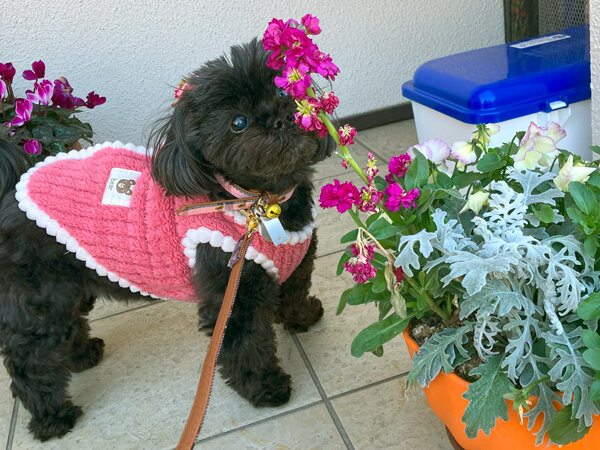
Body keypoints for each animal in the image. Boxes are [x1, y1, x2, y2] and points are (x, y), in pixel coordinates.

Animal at [0, 38, 332, 440]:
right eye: (238, 122)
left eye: (285, 90)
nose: (282, 117)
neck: (261, 204)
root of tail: (11, 190)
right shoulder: (233, 291)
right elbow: (247, 343)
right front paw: (265, 387)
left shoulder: (296, 264)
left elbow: (295, 293)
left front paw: (303, 317)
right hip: (41, 300)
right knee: (31, 362)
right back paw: (53, 418)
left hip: (69, 285)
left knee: (68, 326)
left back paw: (82, 355)